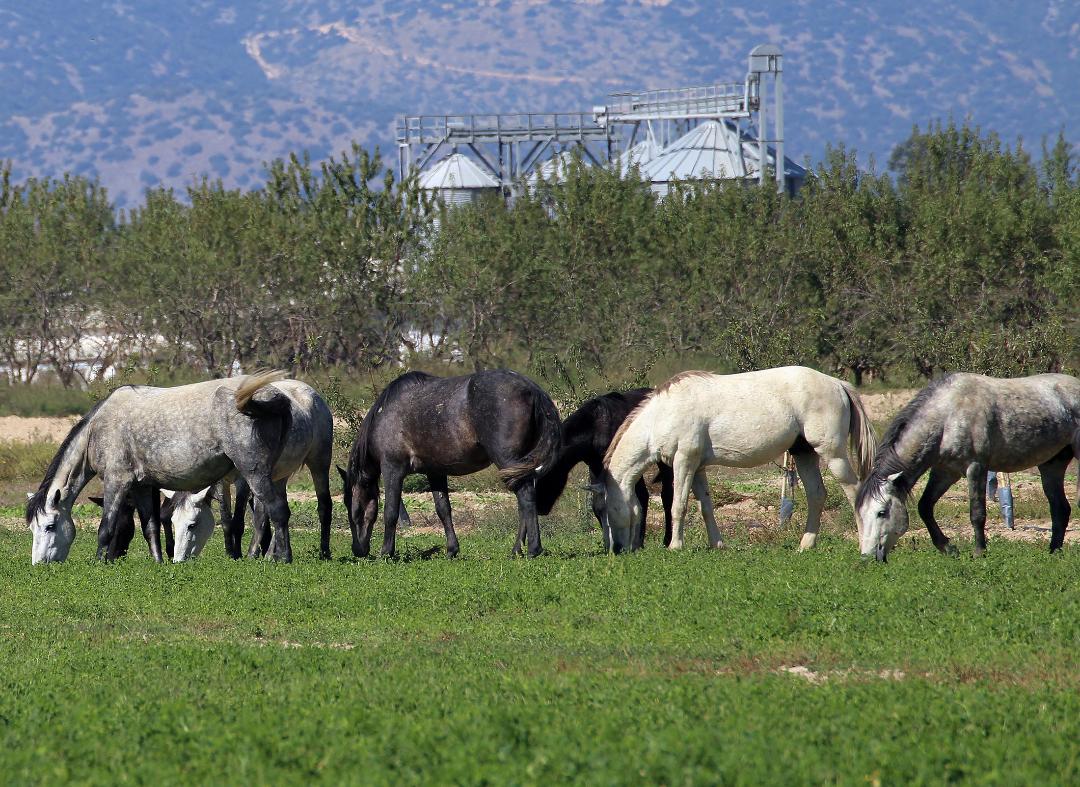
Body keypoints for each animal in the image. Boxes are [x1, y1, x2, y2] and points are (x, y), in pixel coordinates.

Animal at [26, 371, 304, 561]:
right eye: (32, 528)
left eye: (50, 526)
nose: (39, 564)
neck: (97, 430)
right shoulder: (141, 486)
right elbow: (150, 527)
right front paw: (159, 561)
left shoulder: (117, 481)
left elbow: (106, 527)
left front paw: (99, 562)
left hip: (253, 472)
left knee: (276, 511)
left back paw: (283, 558)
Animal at [341, 369, 561, 557]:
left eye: (354, 509)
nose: (357, 550)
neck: (385, 415)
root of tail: (531, 388)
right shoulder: (435, 472)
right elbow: (443, 509)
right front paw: (451, 549)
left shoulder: (392, 469)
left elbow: (391, 511)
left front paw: (386, 551)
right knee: (525, 501)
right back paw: (517, 549)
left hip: (508, 461)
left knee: (525, 496)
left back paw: (533, 549)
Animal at [533, 388, 673, 550]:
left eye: (548, 477)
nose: (540, 508)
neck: (594, 430)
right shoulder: (595, 465)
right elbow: (598, 504)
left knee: (666, 496)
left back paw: (666, 539)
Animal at [596, 364, 881, 550]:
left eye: (609, 509)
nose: (617, 550)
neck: (663, 413)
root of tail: (837, 384)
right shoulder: (697, 467)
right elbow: (706, 507)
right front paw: (717, 544)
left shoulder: (684, 461)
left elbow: (679, 505)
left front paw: (675, 546)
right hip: (804, 453)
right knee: (816, 495)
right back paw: (805, 545)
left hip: (832, 453)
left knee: (854, 491)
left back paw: (862, 544)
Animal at [859, 373, 1080, 557]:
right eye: (860, 514)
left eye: (881, 512)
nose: (866, 556)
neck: (947, 416)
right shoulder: (945, 472)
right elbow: (925, 507)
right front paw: (948, 549)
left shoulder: (976, 467)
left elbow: (977, 513)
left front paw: (979, 552)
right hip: (1052, 465)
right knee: (1060, 509)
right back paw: (1054, 552)